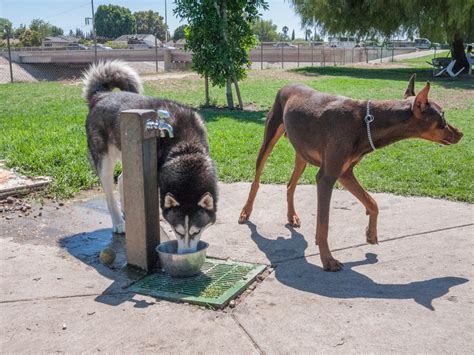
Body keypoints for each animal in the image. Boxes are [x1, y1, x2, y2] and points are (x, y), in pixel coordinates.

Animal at [237, 76, 462, 272]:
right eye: (442, 117)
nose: (461, 134)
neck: (367, 122)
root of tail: (286, 85)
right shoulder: (327, 177)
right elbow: (324, 224)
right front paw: (328, 260)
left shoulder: (344, 173)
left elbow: (372, 203)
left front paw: (371, 235)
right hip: (269, 138)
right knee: (256, 180)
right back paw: (245, 212)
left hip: (301, 153)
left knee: (290, 185)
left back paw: (292, 216)